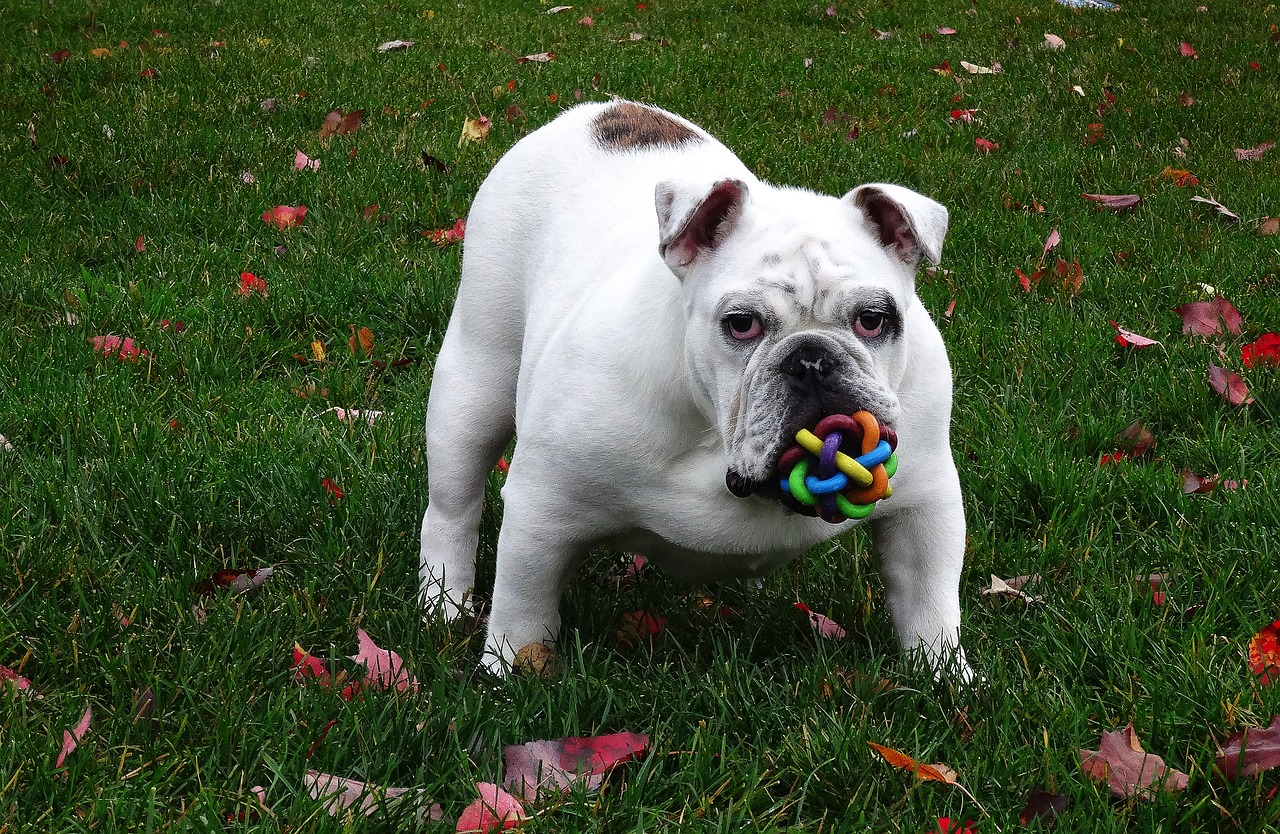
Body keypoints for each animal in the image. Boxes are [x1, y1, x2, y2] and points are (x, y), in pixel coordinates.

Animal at [419, 101, 967, 680]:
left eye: (873, 319)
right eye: (741, 324)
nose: (812, 358)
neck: (717, 442)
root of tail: (600, 109)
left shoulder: (924, 503)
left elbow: (928, 600)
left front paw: (946, 679)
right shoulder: (541, 508)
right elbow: (523, 605)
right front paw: (508, 673)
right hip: (475, 380)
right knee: (454, 506)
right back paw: (443, 604)